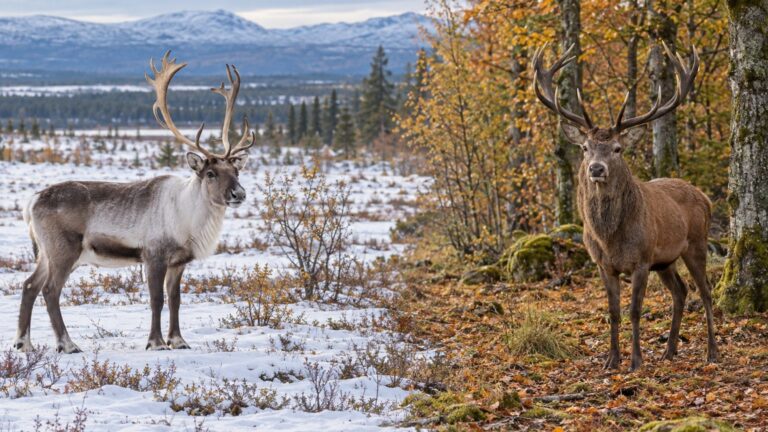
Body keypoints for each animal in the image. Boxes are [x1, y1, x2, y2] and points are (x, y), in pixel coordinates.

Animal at [15, 52, 256, 353]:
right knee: (49, 290)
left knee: (29, 286)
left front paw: (179, 340)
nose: (239, 194)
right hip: (63, 250)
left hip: (46, 253)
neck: (188, 218)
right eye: (210, 173)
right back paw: (67, 344)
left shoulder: (178, 262)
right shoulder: (154, 255)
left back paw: (23, 343)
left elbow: (175, 299)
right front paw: (156, 342)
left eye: (236, 171)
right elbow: (156, 299)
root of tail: (32, 201)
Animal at [532, 43, 719, 370]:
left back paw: (711, 352)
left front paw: (635, 361)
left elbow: (634, 310)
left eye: (617, 148)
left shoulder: (642, 260)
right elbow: (613, 312)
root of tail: (704, 196)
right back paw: (670, 351)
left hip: (695, 243)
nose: (596, 169)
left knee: (706, 291)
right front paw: (611, 360)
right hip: (665, 259)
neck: (610, 238)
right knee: (681, 291)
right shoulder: (603, 264)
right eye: (585, 147)